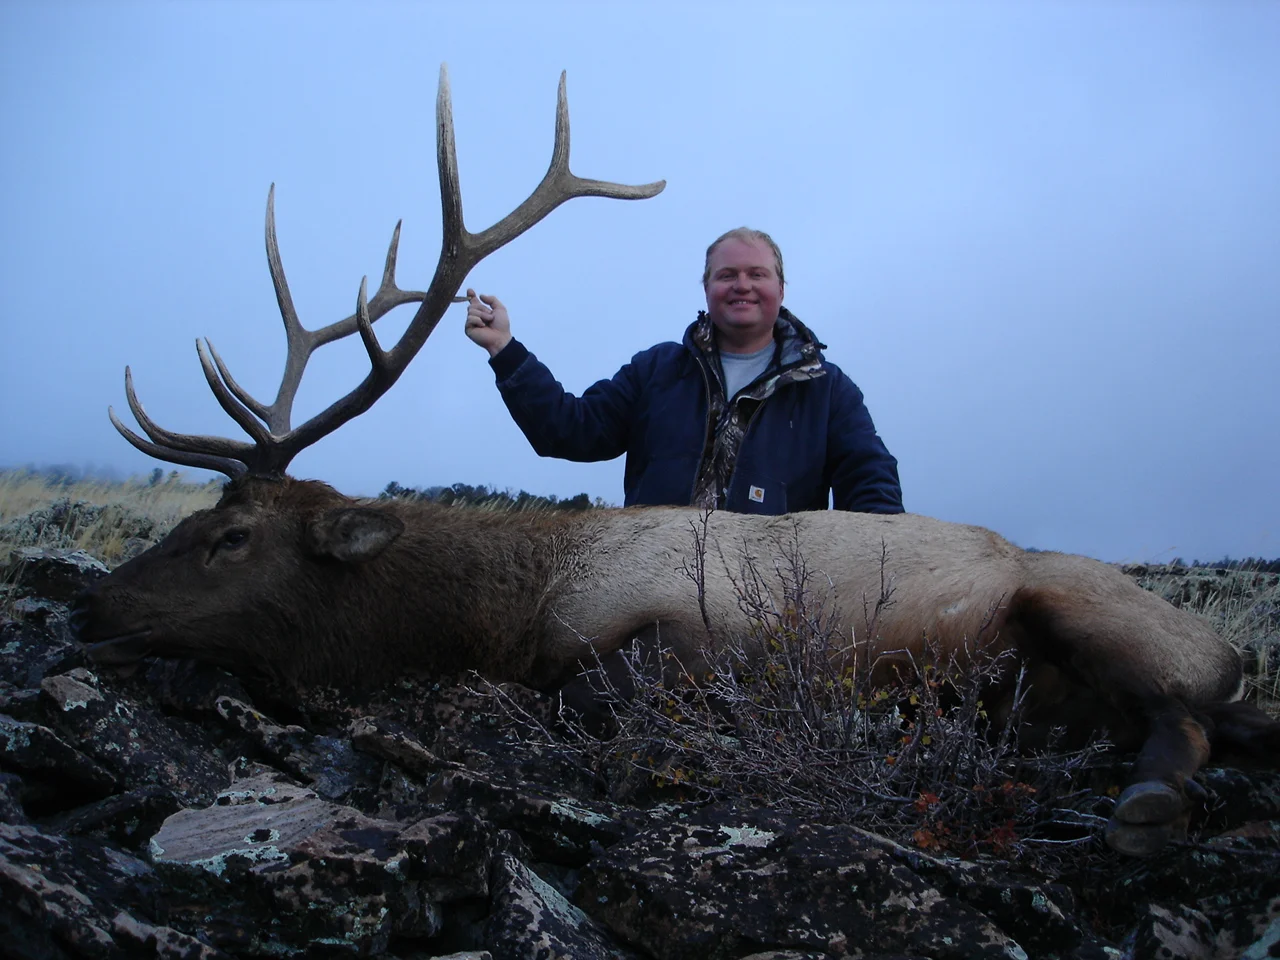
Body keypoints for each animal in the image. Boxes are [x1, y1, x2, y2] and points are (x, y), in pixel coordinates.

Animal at [72, 67, 1279, 858]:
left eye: (231, 536)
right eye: (193, 518)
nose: (91, 606)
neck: (518, 601)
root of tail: (1229, 655)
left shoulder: (695, 640)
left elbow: (587, 699)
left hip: (1092, 612)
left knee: (1183, 723)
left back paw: (1142, 805)